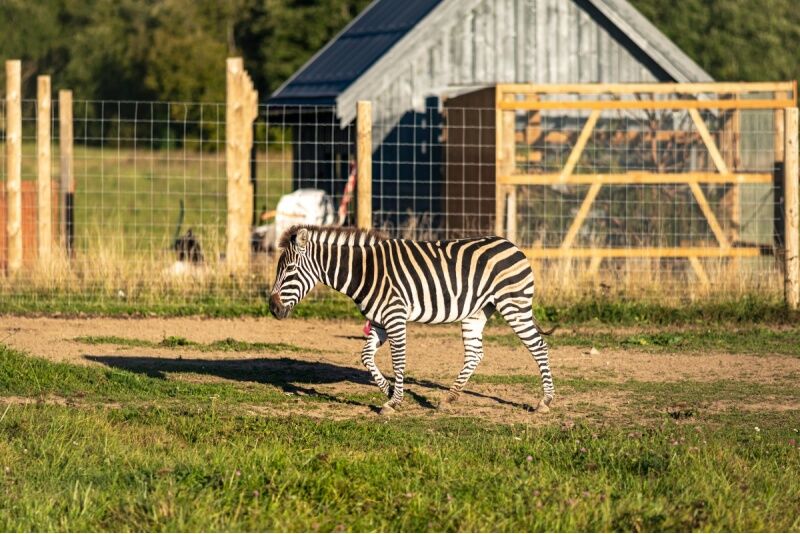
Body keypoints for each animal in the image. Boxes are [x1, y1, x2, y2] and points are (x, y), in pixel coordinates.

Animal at [268, 224, 556, 416]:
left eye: (290, 269)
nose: (272, 308)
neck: (365, 271)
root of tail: (512, 245)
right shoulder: (379, 322)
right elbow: (366, 357)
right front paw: (388, 391)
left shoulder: (395, 316)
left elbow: (398, 360)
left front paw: (394, 402)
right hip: (477, 311)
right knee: (475, 353)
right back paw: (449, 398)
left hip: (513, 304)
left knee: (538, 346)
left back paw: (545, 402)